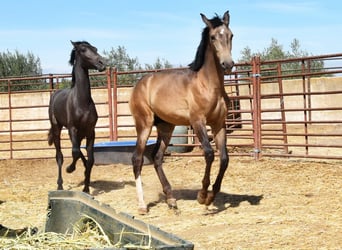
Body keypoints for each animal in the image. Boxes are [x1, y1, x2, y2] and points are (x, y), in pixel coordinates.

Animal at [47, 40, 105, 193]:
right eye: (83, 50)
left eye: (95, 48)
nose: (102, 63)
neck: (82, 102)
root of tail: (55, 94)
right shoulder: (72, 129)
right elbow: (74, 152)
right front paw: (70, 169)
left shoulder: (90, 131)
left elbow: (90, 159)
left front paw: (86, 188)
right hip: (57, 128)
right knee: (60, 155)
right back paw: (60, 185)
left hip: (78, 133)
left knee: (79, 151)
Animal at [130, 10, 234, 213]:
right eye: (213, 37)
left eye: (231, 35)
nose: (228, 64)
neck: (208, 85)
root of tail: (140, 83)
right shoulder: (198, 122)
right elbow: (209, 153)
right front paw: (202, 196)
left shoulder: (218, 124)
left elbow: (224, 159)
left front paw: (211, 196)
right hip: (144, 125)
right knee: (137, 159)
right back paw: (142, 205)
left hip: (166, 127)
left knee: (157, 158)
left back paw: (171, 199)